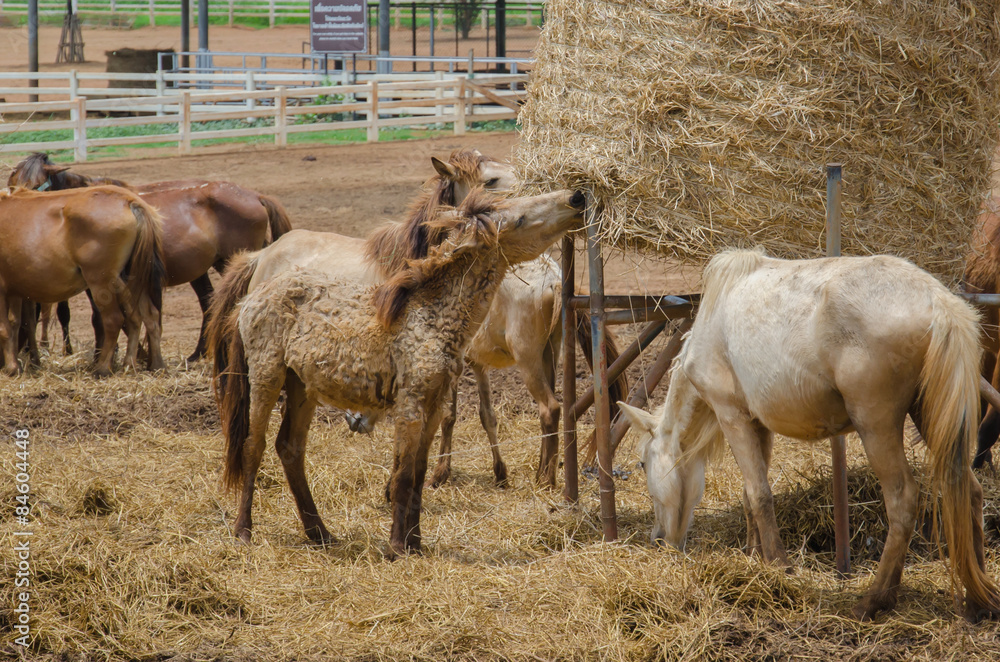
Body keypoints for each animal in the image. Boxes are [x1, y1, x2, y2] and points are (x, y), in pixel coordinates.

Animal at [0, 185, 164, 378]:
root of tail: (128, 200)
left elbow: (5, 328)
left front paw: (12, 367)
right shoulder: (15, 290)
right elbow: (15, 323)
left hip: (101, 281)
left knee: (114, 320)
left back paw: (103, 368)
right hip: (133, 278)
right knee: (148, 316)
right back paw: (150, 364)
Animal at [7, 152, 292, 364]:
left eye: (38, 185)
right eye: (13, 183)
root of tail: (255, 195)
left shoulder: (98, 278)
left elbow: (101, 318)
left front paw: (107, 358)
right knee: (209, 303)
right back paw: (197, 354)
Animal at [209, 189, 584, 556]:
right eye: (520, 219)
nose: (576, 198)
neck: (430, 316)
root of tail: (252, 296)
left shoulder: (433, 407)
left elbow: (418, 472)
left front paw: (415, 543)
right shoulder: (410, 405)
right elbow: (403, 475)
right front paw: (395, 546)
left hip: (302, 386)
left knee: (289, 448)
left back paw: (320, 533)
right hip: (266, 376)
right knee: (253, 446)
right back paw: (244, 531)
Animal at [620, 250, 996, 624]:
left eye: (643, 464)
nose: (657, 540)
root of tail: (936, 300)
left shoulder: (732, 416)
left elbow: (760, 494)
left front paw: (779, 567)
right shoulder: (758, 425)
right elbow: (750, 495)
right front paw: (754, 558)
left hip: (877, 426)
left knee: (903, 500)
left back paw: (874, 600)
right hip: (930, 416)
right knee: (969, 489)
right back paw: (979, 600)